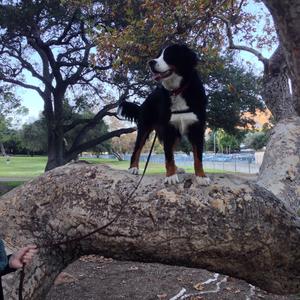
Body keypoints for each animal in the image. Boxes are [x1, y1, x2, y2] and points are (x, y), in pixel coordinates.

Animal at [118, 43, 210, 185]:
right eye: (158, 55)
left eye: (168, 55)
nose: (150, 62)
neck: (178, 91)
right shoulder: (168, 129)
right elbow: (168, 157)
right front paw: (171, 176)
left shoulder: (197, 129)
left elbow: (198, 157)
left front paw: (201, 176)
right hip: (144, 129)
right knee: (137, 149)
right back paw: (133, 168)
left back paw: (178, 169)